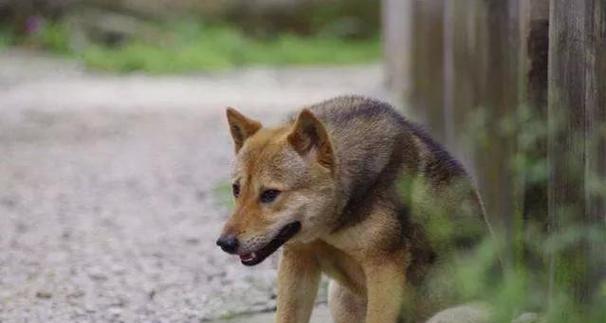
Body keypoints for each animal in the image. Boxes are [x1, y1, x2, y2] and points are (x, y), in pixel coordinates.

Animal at [216, 95, 492, 322]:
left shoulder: (384, 269)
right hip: (339, 296)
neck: (331, 225)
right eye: (236, 190)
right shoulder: (298, 261)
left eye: (270, 194)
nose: (224, 243)